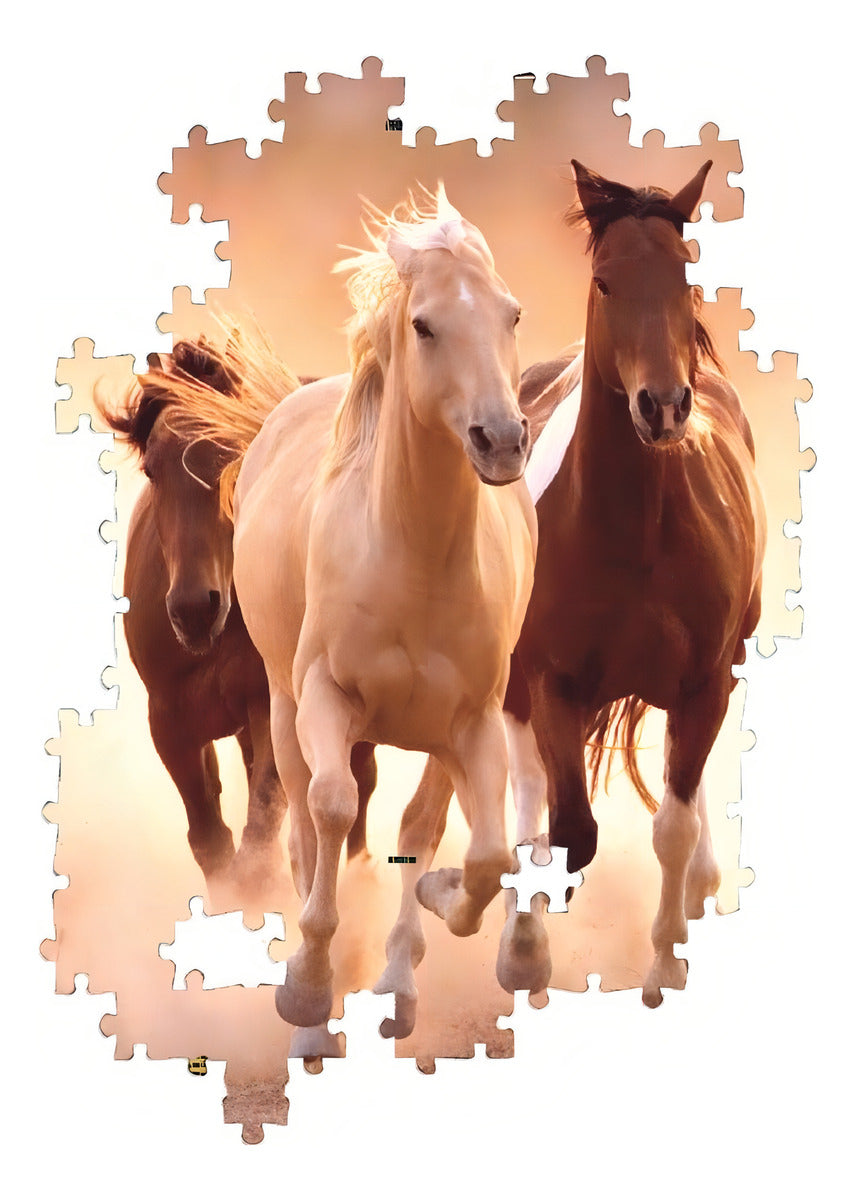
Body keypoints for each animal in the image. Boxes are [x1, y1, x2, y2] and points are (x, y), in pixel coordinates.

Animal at [100, 334, 378, 894]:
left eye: (238, 459)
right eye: (152, 469)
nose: (193, 609)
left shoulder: (270, 707)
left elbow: (258, 843)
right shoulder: (171, 723)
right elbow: (213, 844)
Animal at [219, 187, 542, 1035]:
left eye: (512, 314)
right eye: (425, 324)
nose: (502, 440)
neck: (414, 561)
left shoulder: (473, 723)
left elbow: (483, 854)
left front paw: (441, 905)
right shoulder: (325, 699)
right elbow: (331, 812)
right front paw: (305, 989)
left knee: (419, 828)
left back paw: (397, 984)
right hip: (283, 707)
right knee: (305, 829)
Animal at [507, 160, 766, 1007]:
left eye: (687, 274)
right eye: (605, 280)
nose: (662, 406)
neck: (635, 533)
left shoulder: (703, 683)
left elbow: (673, 827)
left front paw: (662, 968)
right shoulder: (551, 681)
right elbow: (569, 830)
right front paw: (528, 955)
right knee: (526, 786)